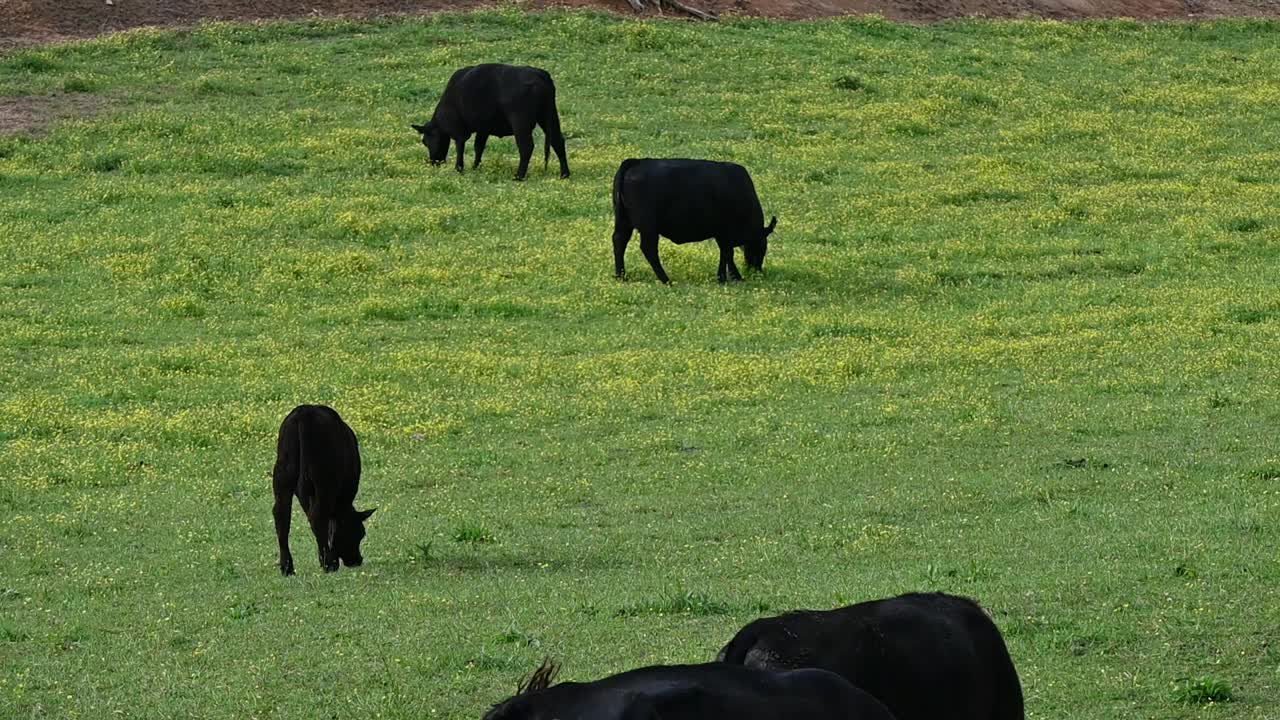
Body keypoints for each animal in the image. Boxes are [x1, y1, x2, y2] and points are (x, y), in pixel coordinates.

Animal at [268, 399, 373, 573]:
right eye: (360, 533)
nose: (357, 560)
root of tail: (303, 413)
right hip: (324, 479)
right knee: (318, 515)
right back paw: (329, 564)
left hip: (283, 473)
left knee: (282, 514)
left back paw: (287, 567)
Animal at [409, 63, 570, 180]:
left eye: (425, 141)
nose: (433, 162)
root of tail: (539, 74)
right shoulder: (483, 128)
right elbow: (478, 147)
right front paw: (475, 167)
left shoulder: (458, 131)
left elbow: (460, 148)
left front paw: (459, 169)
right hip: (549, 116)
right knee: (557, 141)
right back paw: (564, 174)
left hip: (521, 122)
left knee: (526, 147)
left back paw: (519, 176)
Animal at [611, 156, 778, 283]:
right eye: (762, 247)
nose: (756, 271)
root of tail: (637, 161)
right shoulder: (725, 231)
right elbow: (727, 253)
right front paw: (725, 278)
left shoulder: (721, 234)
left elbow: (727, 254)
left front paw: (733, 276)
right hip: (648, 226)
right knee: (649, 249)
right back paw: (666, 280)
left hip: (624, 221)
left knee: (619, 241)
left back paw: (621, 276)